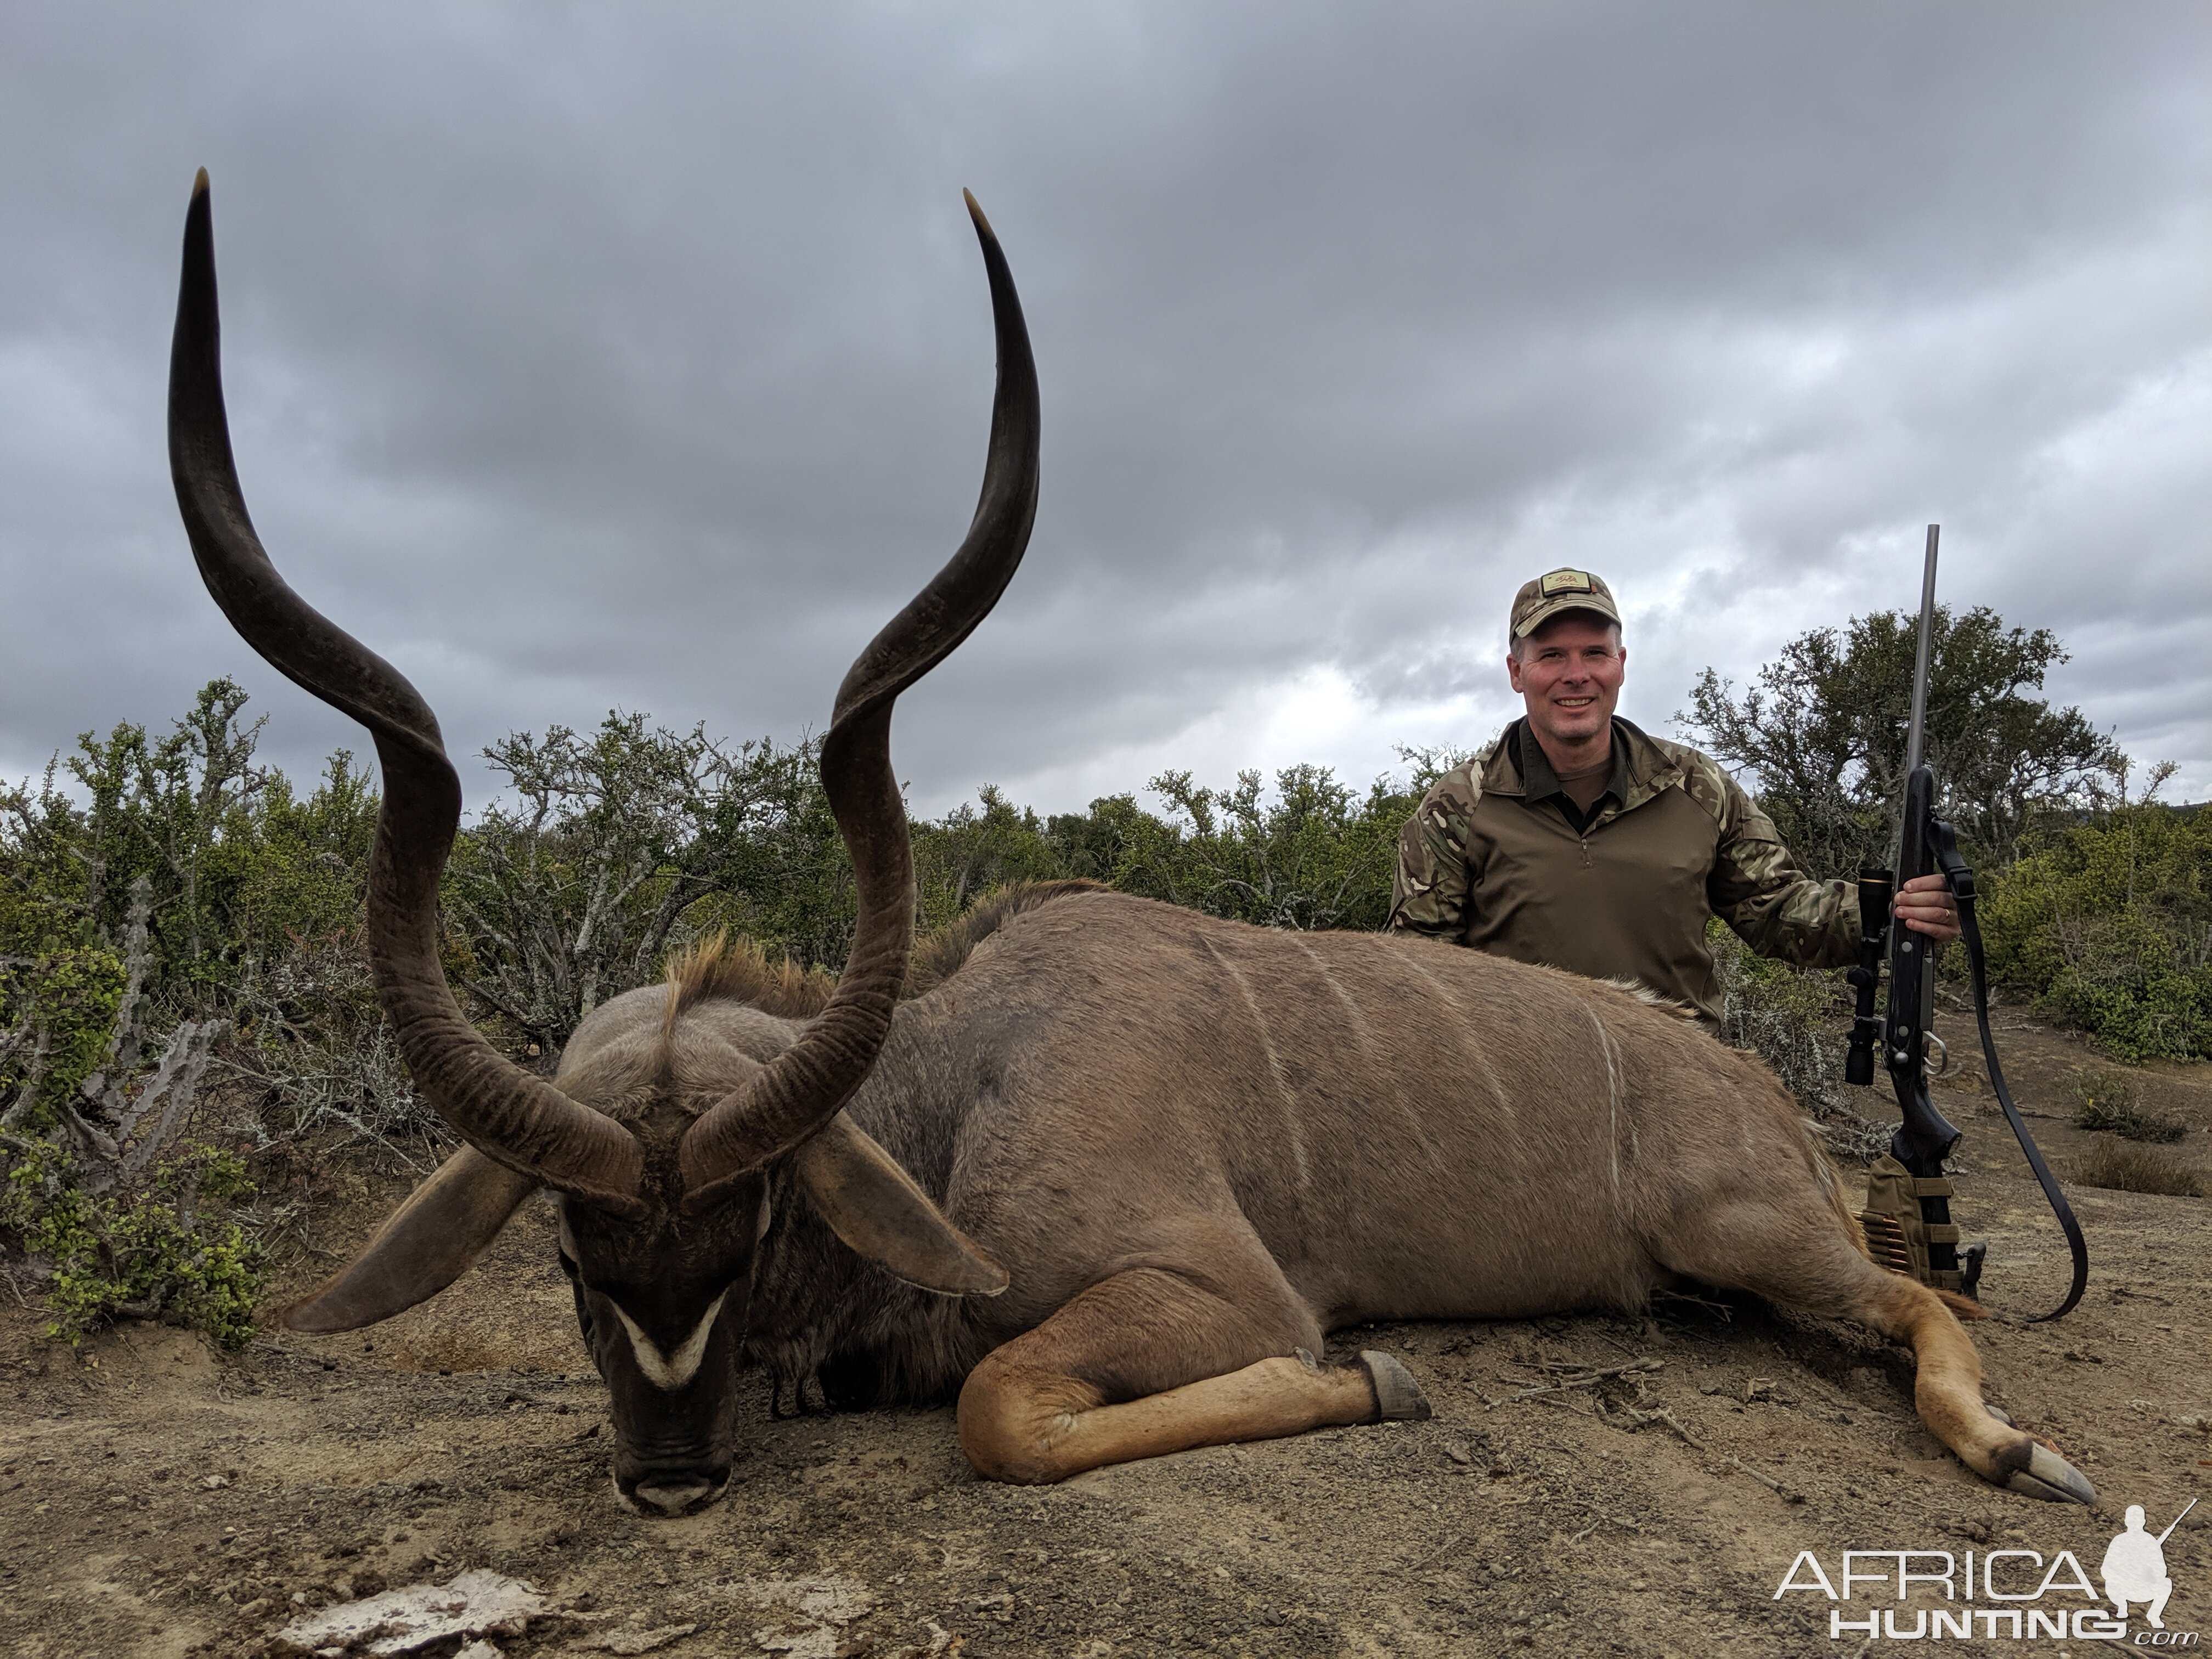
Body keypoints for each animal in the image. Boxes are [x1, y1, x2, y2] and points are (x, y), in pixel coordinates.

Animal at [172, 172, 2088, 1522]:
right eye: (568, 1256)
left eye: (758, 1215)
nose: (667, 1477)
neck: (950, 1095)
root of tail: (1744, 1082)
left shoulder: (1213, 1287)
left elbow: (1006, 1410)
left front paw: (1382, 1385)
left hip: (1751, 1236)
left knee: (1927, 1305)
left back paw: (2023, 1455)